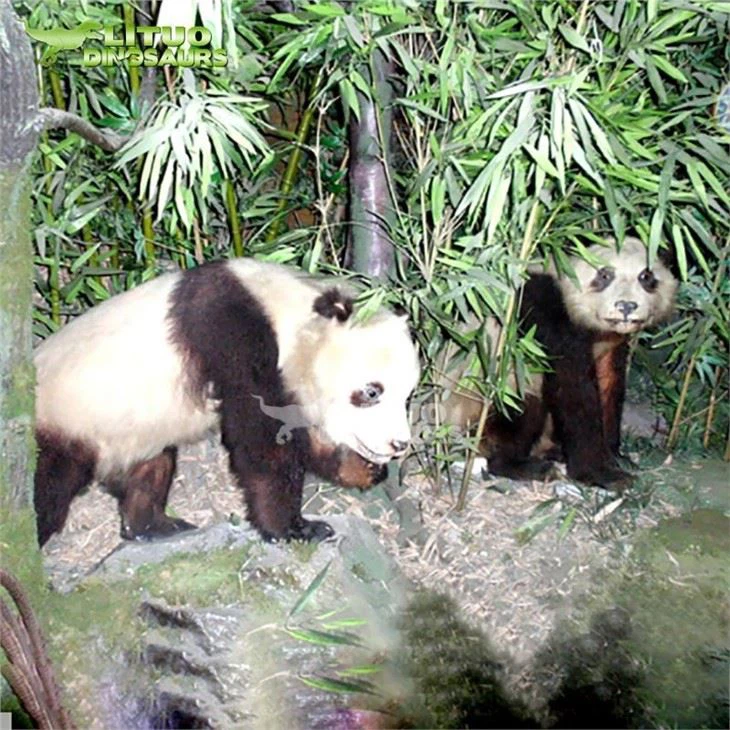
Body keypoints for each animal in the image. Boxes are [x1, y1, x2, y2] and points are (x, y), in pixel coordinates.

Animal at [34, 259, 420, 546]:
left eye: (408, 395)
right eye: (372, 392)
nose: (398, 445)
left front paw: (359, 469)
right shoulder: (234, 337)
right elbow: (261, 441)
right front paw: (295, 528)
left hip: (133, 431)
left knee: (150, 469)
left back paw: (153, 525)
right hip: (66, 420)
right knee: (46, 493)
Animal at [440, 238, 678, 490]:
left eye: (646, 276)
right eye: (604, 275)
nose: (626, 306)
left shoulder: (609, 342)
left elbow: (608, 383)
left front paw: (615, 455)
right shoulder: (543, 310)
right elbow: (573, 390)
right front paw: (602, 474)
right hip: (479, 405)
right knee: (520, 406)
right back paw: (526, 466)